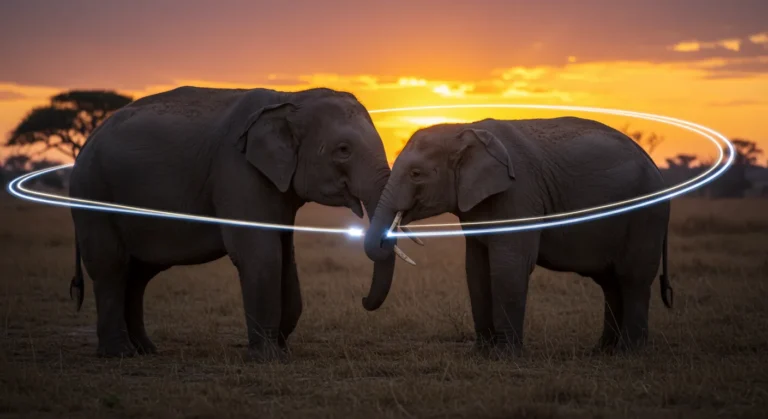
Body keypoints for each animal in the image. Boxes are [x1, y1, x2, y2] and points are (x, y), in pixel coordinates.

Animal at [67, 86, 416, 361]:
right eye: (343, 150)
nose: (363, 301)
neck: (290, 100)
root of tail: (87, 142)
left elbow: (285, 256)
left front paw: (281, 350)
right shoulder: (237, 171)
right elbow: (261, 255)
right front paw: (268, 358)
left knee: (139, 273)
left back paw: (146, 350)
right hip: (93, 193)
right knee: (112, 266)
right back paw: (119, 354)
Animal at [363, 116, 674, 357]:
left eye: (416, 174)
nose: (364, 302)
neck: (464, 130)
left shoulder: (518, 193)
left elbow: (509, 266)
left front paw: (504, 355)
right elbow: (476, 268)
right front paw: (480, 353)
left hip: (646, 216)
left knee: (632, 279)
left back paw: (628, 352)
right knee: (610, 283)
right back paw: (603, 351)